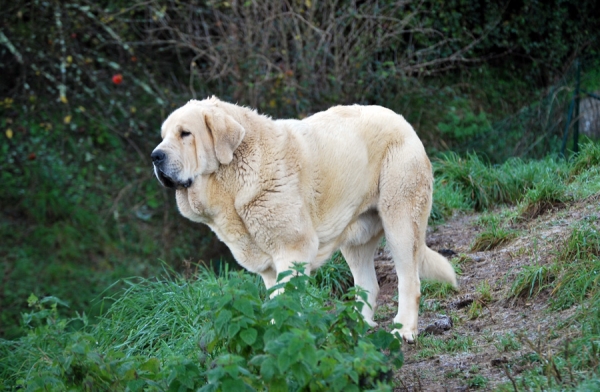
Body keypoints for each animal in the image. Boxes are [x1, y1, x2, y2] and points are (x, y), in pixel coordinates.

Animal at [152, 96, 458, 342]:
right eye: (164, 136)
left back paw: (404, 330)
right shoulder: (269, 267)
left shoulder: (292, 251)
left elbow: (286, 303)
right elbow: (276, 302)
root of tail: (402, 120)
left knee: (409, 280)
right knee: (368, 284)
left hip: (400, 221)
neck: (234, 180)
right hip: (355, 237)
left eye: (185, 133)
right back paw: (354, 330)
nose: (156, 156)